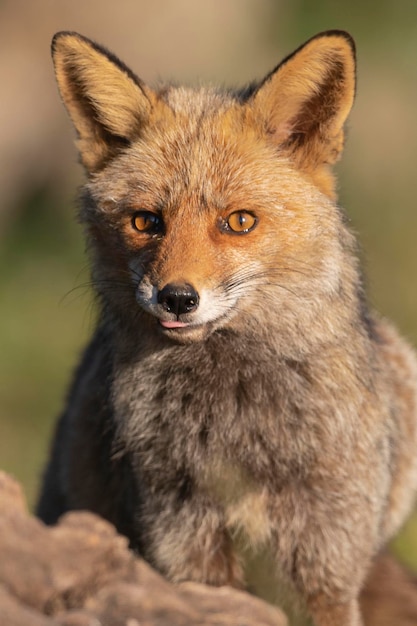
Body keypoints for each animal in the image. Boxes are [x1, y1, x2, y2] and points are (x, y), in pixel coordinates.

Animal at [36, 30, 417, 624]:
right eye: (146, 221)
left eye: (238, 222)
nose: (176, 298)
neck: (239, 428)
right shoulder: (184, 537)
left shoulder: (327, 554)